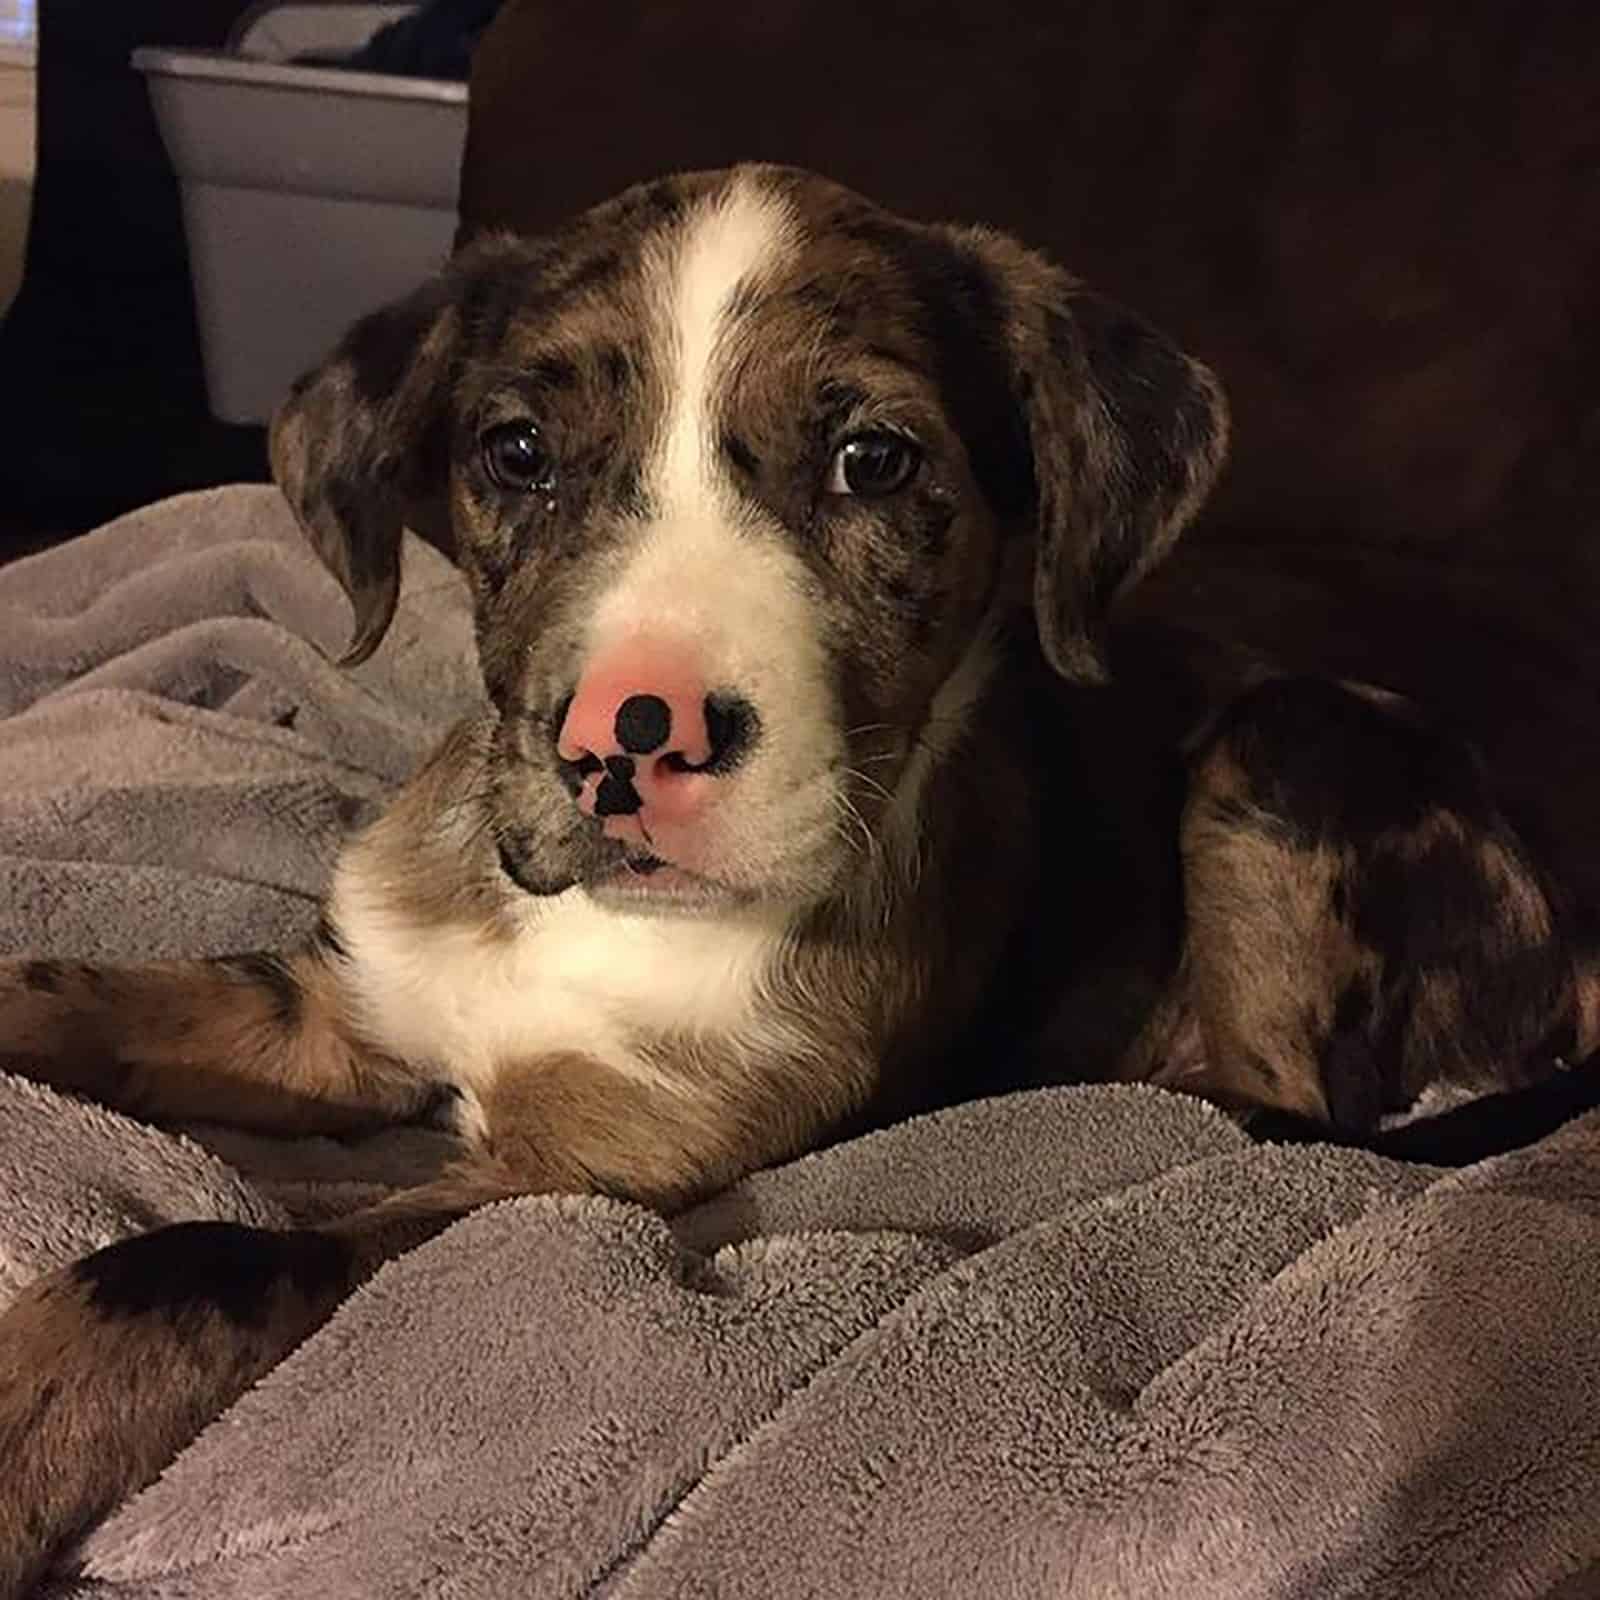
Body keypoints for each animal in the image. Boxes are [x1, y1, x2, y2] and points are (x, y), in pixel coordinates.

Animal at [3, 162, 1600, 1587]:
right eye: (517, 453)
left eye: (873, 461)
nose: (623, 741)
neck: (596, 927)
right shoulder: (347, 1011)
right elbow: (63, 992)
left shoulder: (572, 1180)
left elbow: (200, 1257)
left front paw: (25, 1419)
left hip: (1287, 741)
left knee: (1293, 1112)